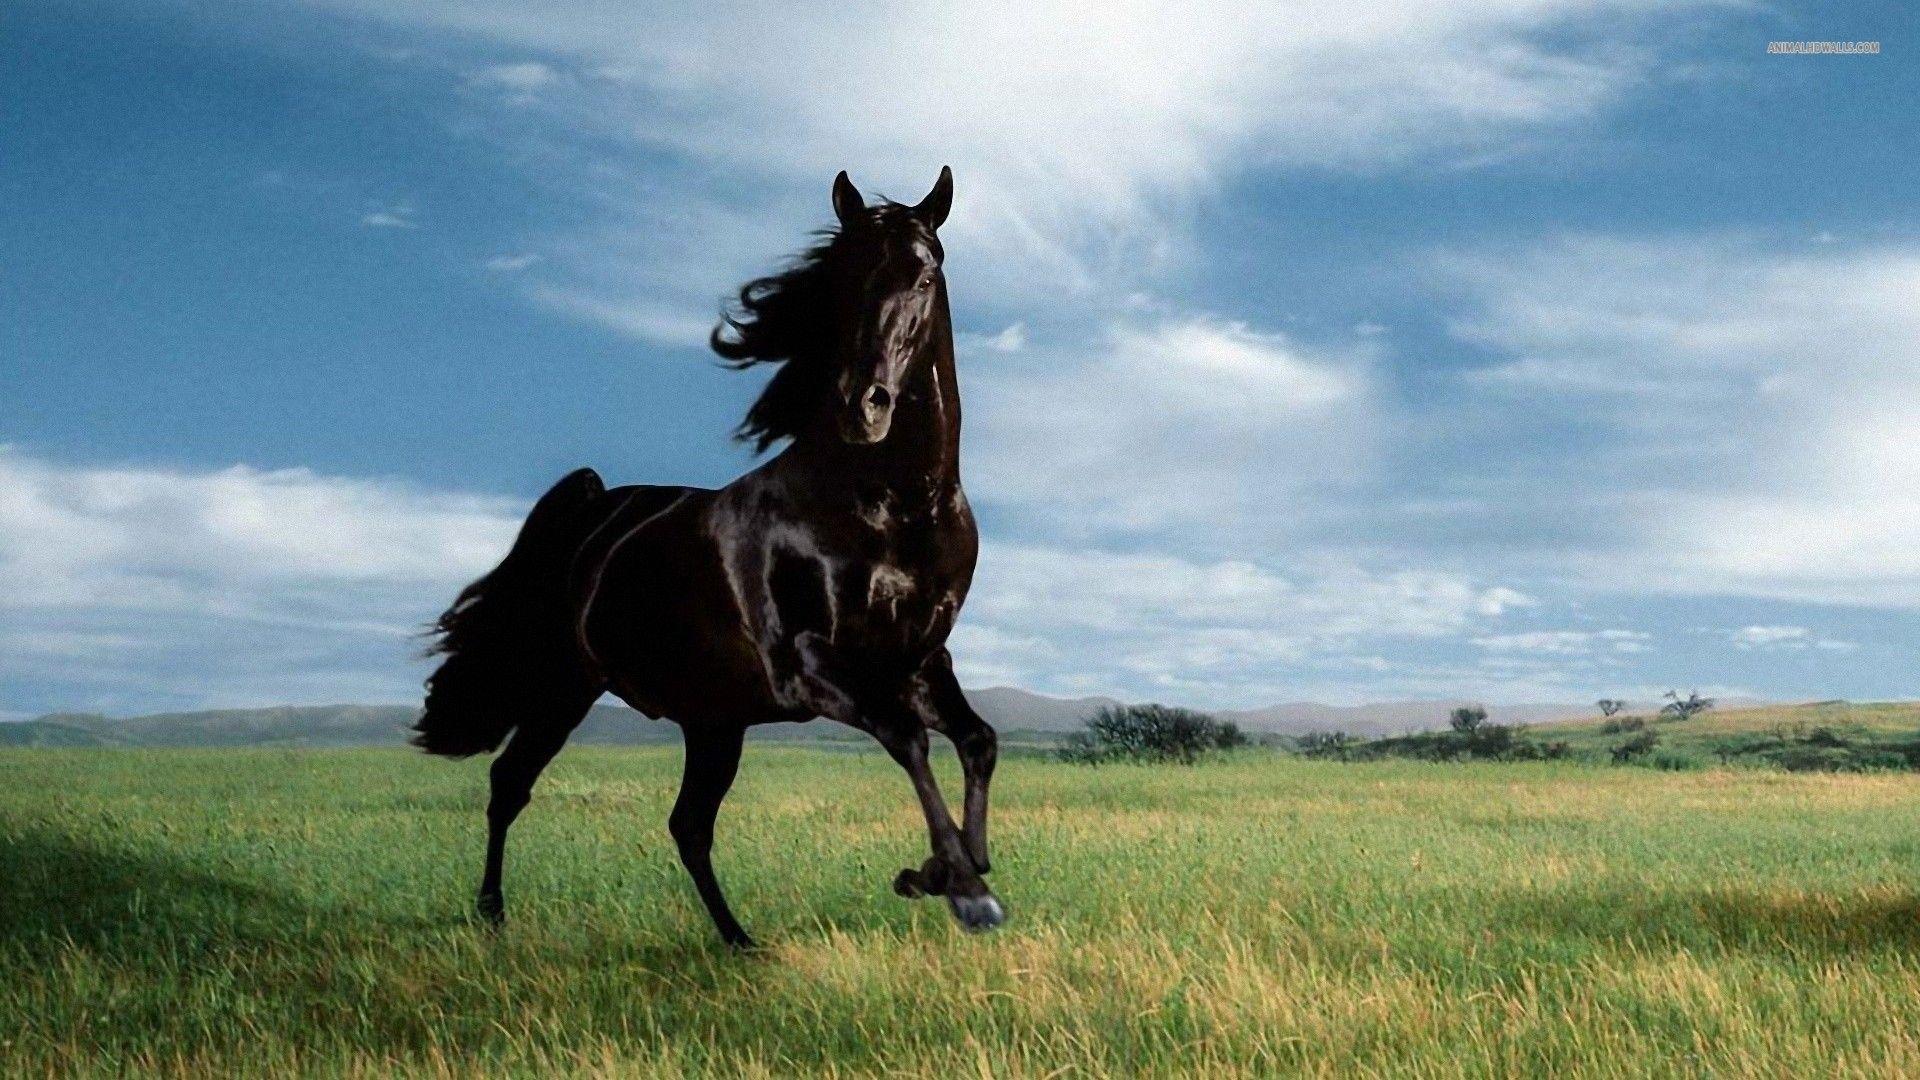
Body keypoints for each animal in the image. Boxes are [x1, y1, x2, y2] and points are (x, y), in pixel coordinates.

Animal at [412, 167, 1002, 947]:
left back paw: (739, 941)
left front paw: (952, 868)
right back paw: (492, 913)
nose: (863, 406)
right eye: (840, 280)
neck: (894, 508)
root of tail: (597, 509)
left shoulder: (920, 661)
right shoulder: (810, 667)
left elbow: (978, 740)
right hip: (563, 685)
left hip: (712, 720)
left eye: (925, 273)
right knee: (511, 782)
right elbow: (908, 740)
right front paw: (958, 885)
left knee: (687, 826)